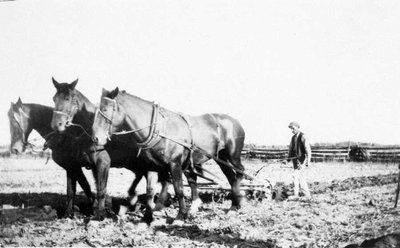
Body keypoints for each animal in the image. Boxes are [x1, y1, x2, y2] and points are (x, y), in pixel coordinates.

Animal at [49, 78, 170, 222]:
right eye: (54, 99)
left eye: (67, 98)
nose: (56, 125)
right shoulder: (73, 166)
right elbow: (71, 191)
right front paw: (68, 214)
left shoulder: (103, 163)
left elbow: (101, 189)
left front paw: (100, 214)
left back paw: (158, 205)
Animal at [92, 87, 245, 223]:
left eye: (105, 110)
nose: (96, 138)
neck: (159, 130)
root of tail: (234, 120)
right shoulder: (152, 165)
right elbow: (150, 192)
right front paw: (147, 218)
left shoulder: (175, 163)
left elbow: (179, 189)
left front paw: (180, 216)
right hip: (220, 157)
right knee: (230, 177)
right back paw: (234, 205)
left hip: (233, 156)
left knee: (239, 172)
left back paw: (239, 198)